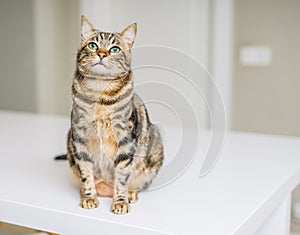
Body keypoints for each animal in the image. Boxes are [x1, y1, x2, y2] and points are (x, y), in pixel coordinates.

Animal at [64, 16, 165, 215]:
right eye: (93, 45)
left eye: (115, 49)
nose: (102, 54)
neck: (99, 93)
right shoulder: (79, 137)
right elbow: (86, 172)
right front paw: (89, 196)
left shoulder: (125, 140)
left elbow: (122, 175)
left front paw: (120, 201)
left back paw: (130, 193)